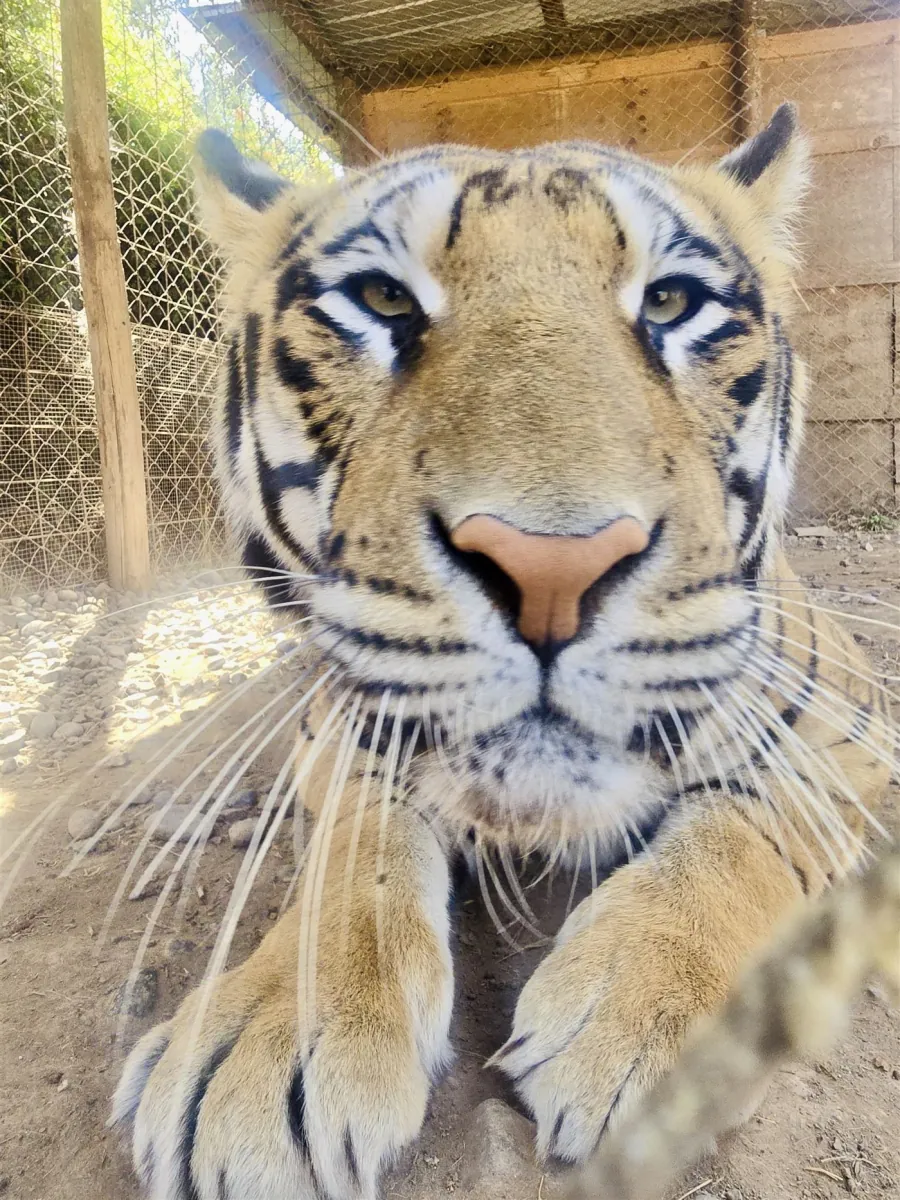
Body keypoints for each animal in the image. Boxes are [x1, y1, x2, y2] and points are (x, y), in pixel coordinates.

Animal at [111, 103, 895, 1200]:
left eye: (673, 302)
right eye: (382, 298)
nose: (553, 570)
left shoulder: (842, 731)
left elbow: (745, 829)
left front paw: (652, 1028)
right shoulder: (343, 725)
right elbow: (350, 856)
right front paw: (264, 1048)